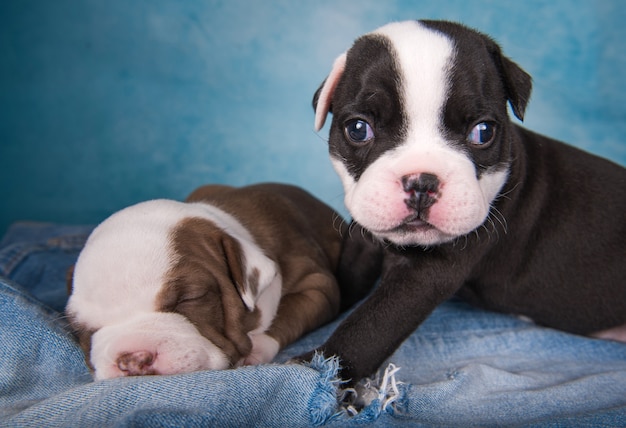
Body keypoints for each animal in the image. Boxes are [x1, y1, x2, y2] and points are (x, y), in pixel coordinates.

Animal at [66, 182, 344, 380]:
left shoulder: (316, 285)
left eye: (190, 298)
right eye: (81, 330)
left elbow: (289, 312)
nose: (132, 359)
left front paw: (257, 348)